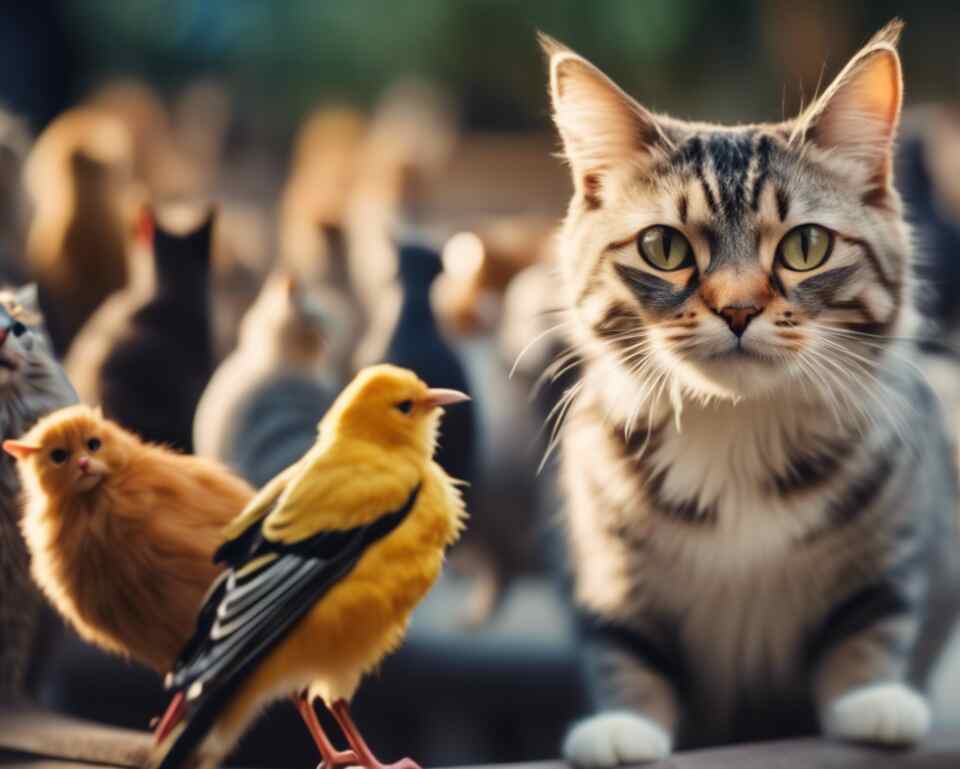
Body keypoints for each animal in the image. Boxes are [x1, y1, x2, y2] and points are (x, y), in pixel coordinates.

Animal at [544, 21, 960, 764]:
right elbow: (623, 644)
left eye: (806, 246)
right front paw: (623, 727)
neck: (737, 429)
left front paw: (873, 702)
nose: (737, 310)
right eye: (663, 248)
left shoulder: (900, 528)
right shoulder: (604, 557)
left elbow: (874, 616)